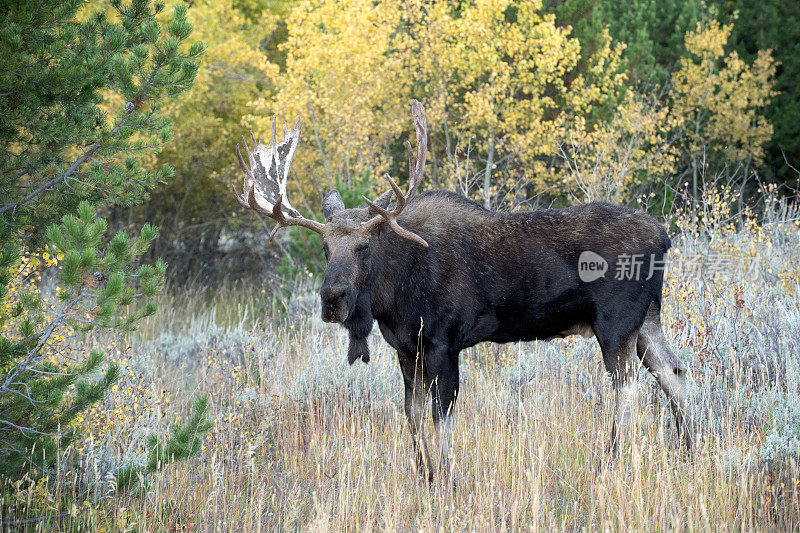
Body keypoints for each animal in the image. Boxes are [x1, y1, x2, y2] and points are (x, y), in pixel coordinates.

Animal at [230, 100, 688, 482]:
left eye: (364, 247)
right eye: (325, 248)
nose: (332, 299)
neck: (391, 298)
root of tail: (663, 236)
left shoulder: (442, 343)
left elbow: (441, 416)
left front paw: (448, 477)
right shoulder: (406, 348)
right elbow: (412, 414)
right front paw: (425, 475)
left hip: (615, 324)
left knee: (627, 387)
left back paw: (610, 460)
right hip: (647, 319)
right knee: (675, 371)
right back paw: (689, 448)